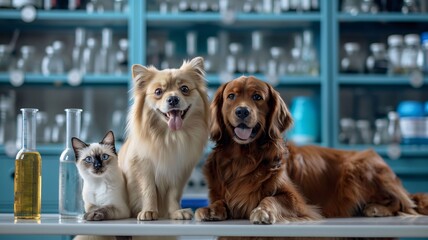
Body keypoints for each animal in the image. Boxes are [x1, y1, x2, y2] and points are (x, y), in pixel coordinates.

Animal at [118, 57, 209, 220]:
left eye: (184, 89)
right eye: (158, 92)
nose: (173, 99)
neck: (170, 136)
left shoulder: (178, 170)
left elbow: (173, 194)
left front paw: (176, 212)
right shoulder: (142, 167)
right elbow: (148, 190)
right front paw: (149, 211)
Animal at [196, 76, 426, 224]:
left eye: (257, 97)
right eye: (231, 96)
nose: (242, 111)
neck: (244, 157)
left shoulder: (297, 201)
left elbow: (269, 199)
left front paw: (262, 211)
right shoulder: (221, 191)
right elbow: (220, 200)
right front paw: (211, 209)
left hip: (360, 166)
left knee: (404, 203)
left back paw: (376, 208)